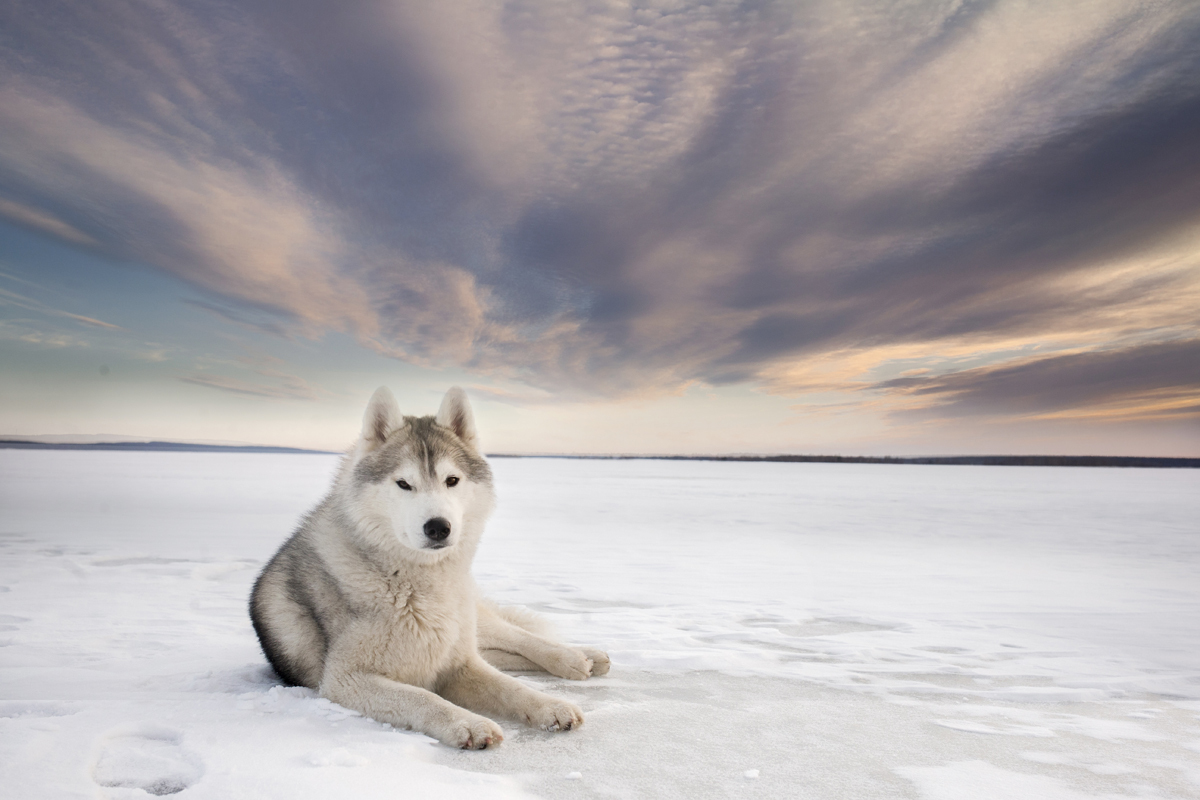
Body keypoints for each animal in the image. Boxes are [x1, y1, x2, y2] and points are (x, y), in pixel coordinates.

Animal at [252, 388, 609, 753]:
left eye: (452, 480)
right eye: (403, 484)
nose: (438, 527)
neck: (415, 585)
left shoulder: (460, 663)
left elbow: (511, 687)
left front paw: (550, 705)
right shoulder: (346, 679)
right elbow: (424, 698)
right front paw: (468, 723)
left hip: (471, 620)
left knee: (516, 637)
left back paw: (578, 656)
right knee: (498, 651)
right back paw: (587, 659)